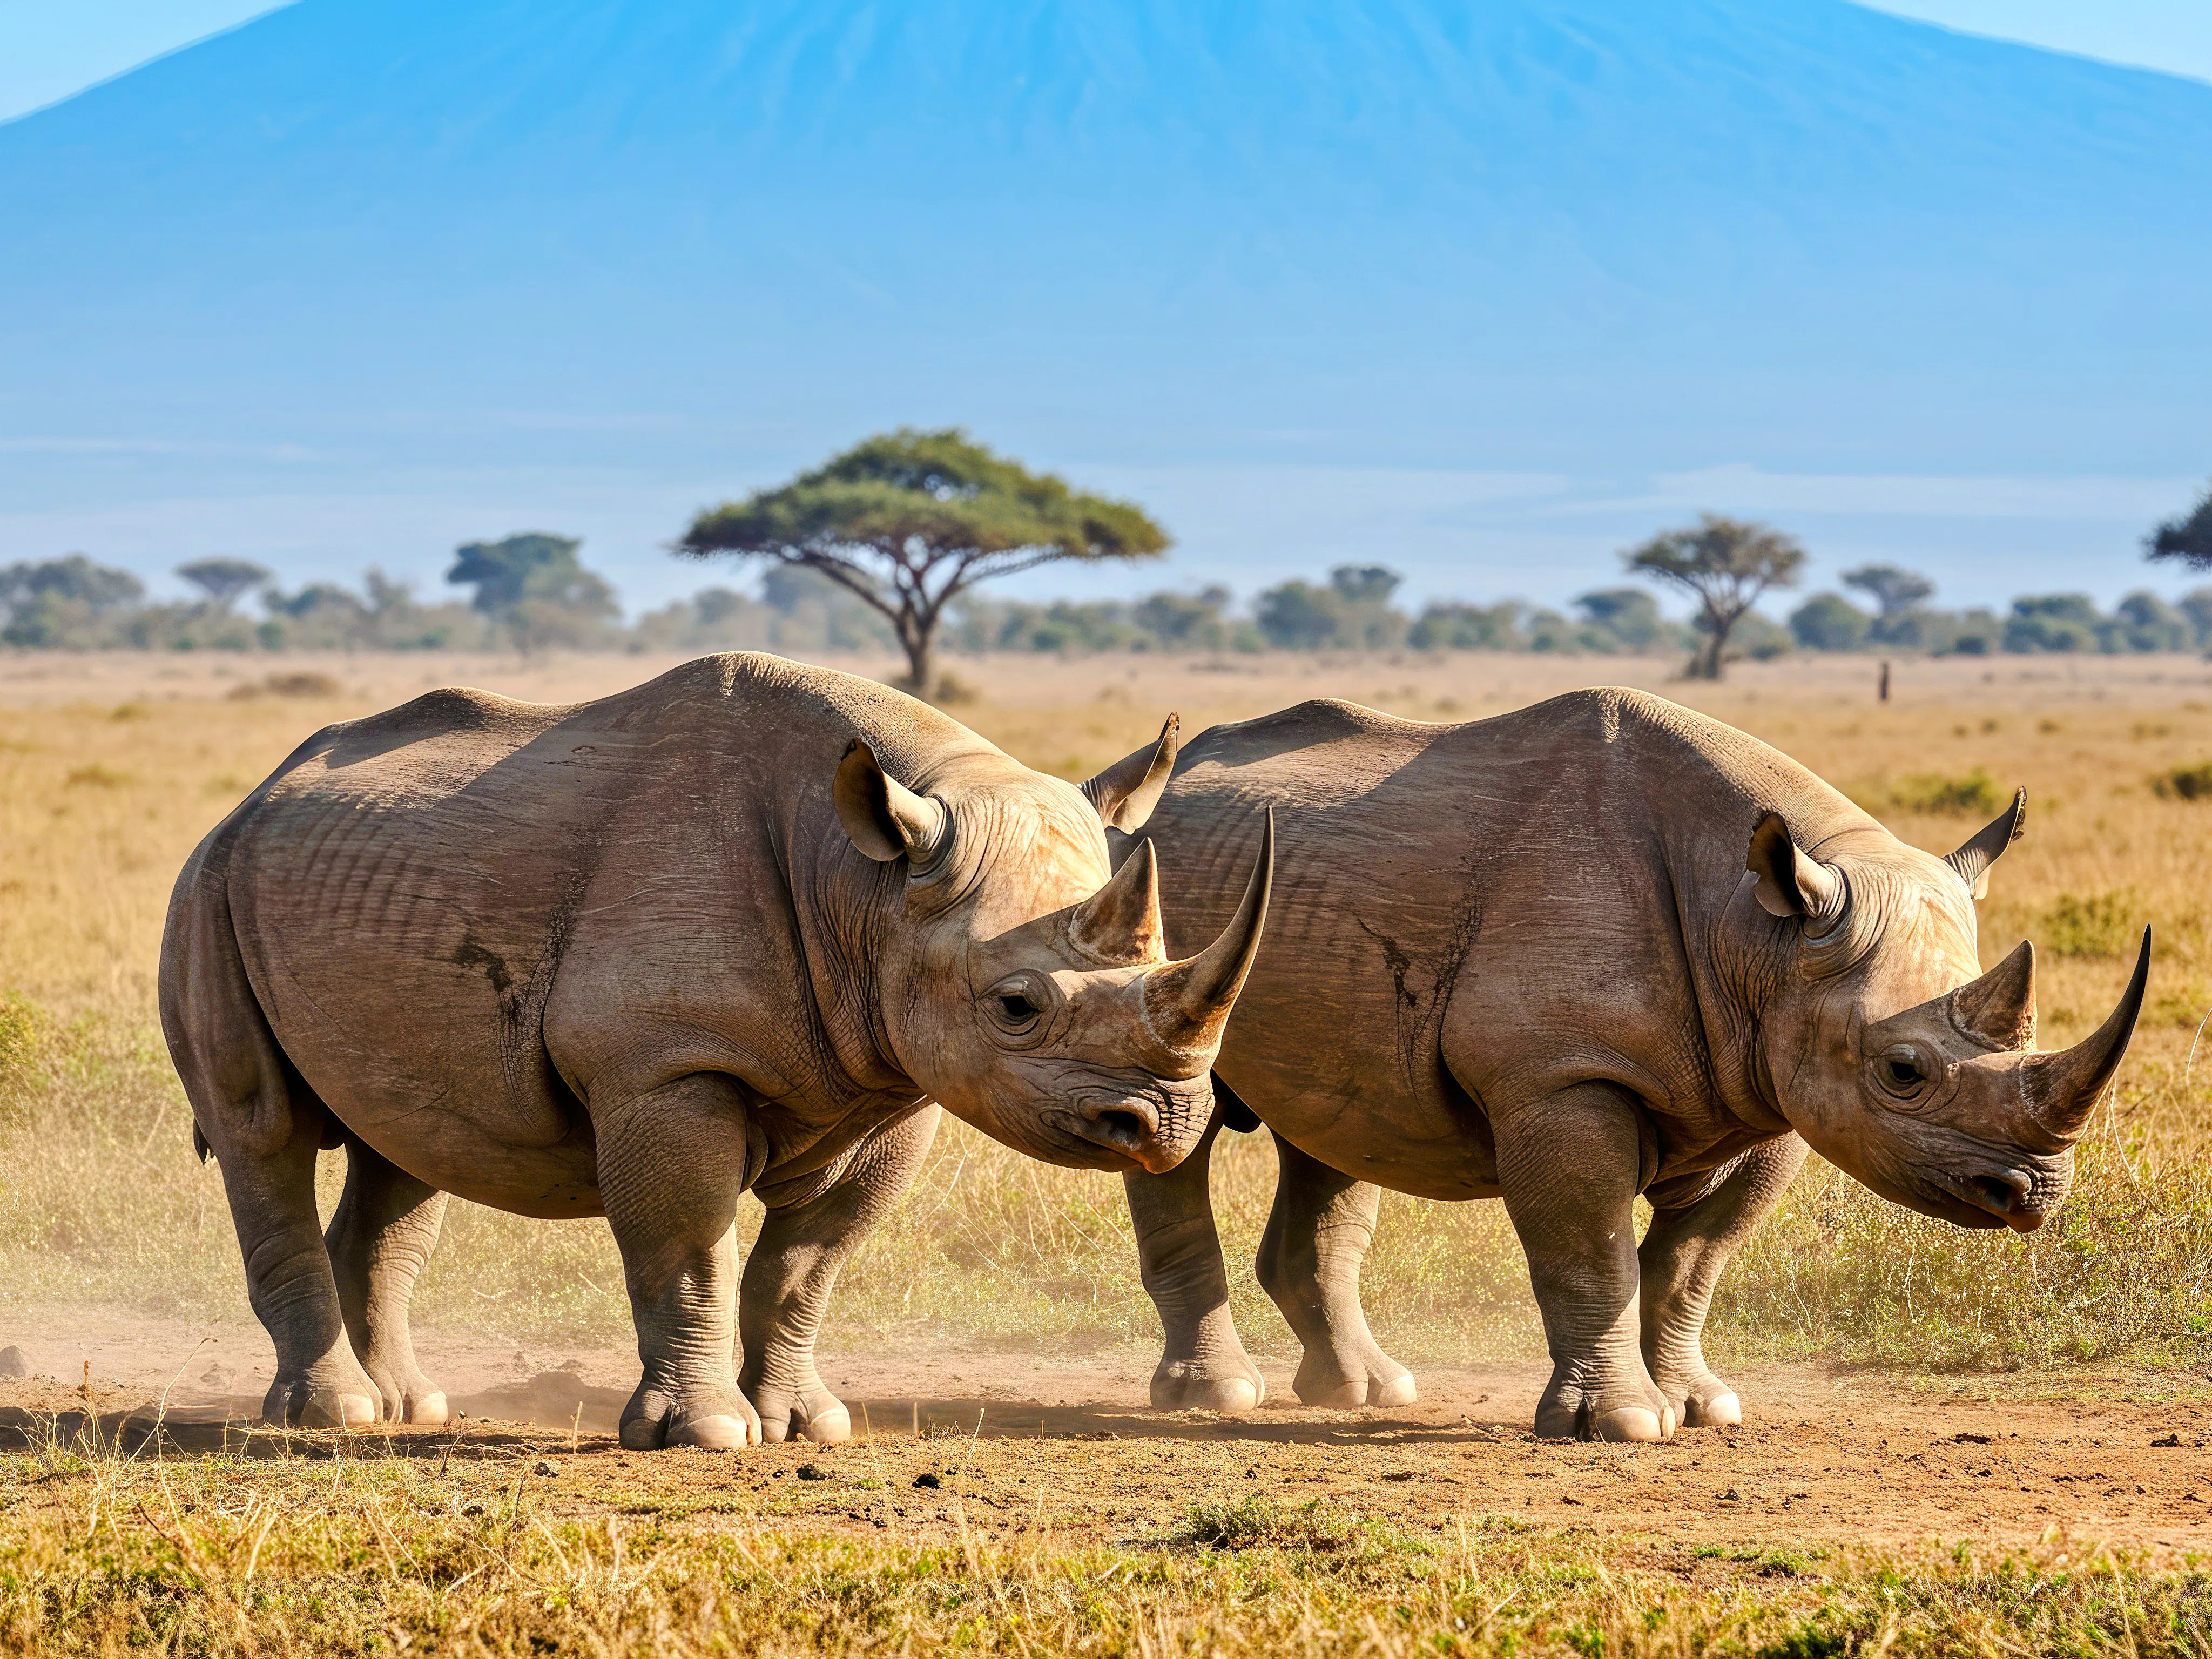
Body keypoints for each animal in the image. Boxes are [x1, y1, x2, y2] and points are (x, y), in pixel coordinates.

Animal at [160, 654, 1269, 1445]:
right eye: (1015, 1007)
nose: (1169, 1120)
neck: (867, 881)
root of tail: (251, 796)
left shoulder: (897, 1082)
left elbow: (806, 1264)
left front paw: (807, 1424)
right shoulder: (668, 1064)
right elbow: (690, 1247)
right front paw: (704, 1434)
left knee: (408, 1144)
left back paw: (408, 1408)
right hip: (206, 887)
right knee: (263, 1129)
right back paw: (331, 1416)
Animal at [1097, 690, 2148, 1441]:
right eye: (1902, 1070)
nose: (2032, 1191)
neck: (1759, 932)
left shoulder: (1771, 1088)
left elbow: (1691, 1264)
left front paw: (1704, 1407)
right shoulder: (1563, 1075)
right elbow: (1588, 1252)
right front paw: (1622, 1424)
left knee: (1339, 1130)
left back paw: (1366, 1391)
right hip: (1161, 941)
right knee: (1175, 1122)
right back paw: (1215, 1399)